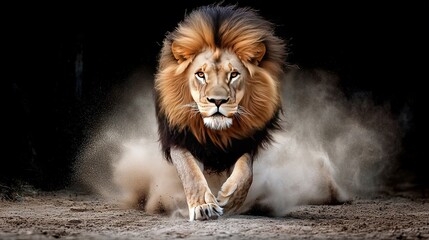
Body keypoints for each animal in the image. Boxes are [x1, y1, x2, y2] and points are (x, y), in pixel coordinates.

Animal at [152, 4, 286, 221]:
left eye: (234, 74)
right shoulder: (179, 138)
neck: (216, 133)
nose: (217, 101)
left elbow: (246, 173)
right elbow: (190, 172)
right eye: (200, 74)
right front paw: (203, 206)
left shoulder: (244, 142)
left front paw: (230, 201)